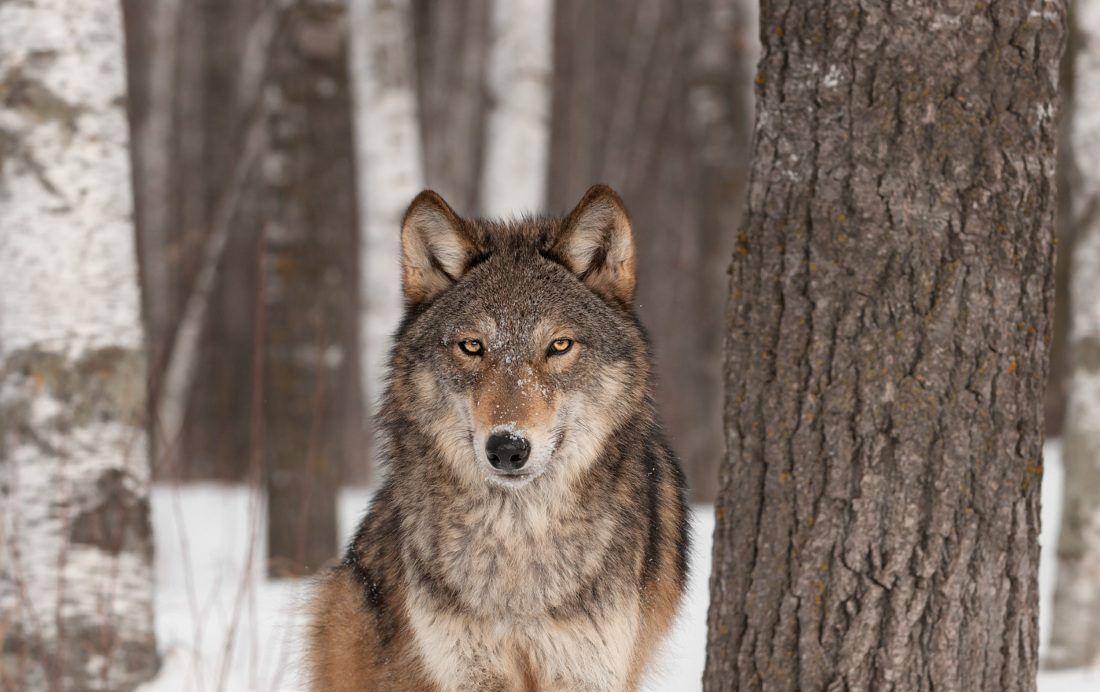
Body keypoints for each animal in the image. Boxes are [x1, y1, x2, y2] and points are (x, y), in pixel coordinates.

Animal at [307, 185, 690, 691]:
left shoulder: (584, 670)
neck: (517, 539)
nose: (507, 448)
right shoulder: (472, 670)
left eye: (559, 346)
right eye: (472, 346)